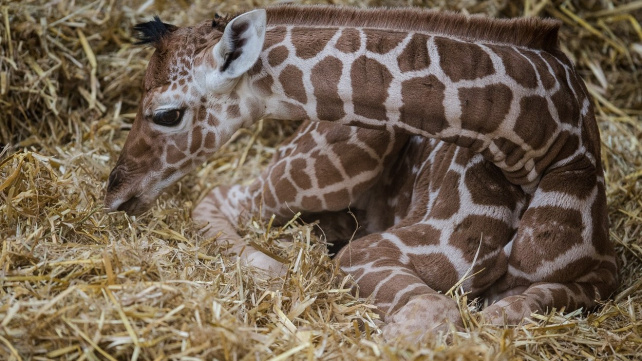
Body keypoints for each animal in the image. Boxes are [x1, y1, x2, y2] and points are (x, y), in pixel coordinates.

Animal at [104, 4, 616, 338]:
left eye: (166, 114)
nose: (115, 193)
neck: (536, 142)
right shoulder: (368, 253)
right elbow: (439, 309)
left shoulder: (605, 276)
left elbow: (515, 305)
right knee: (223, 197)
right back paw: (274, 267)